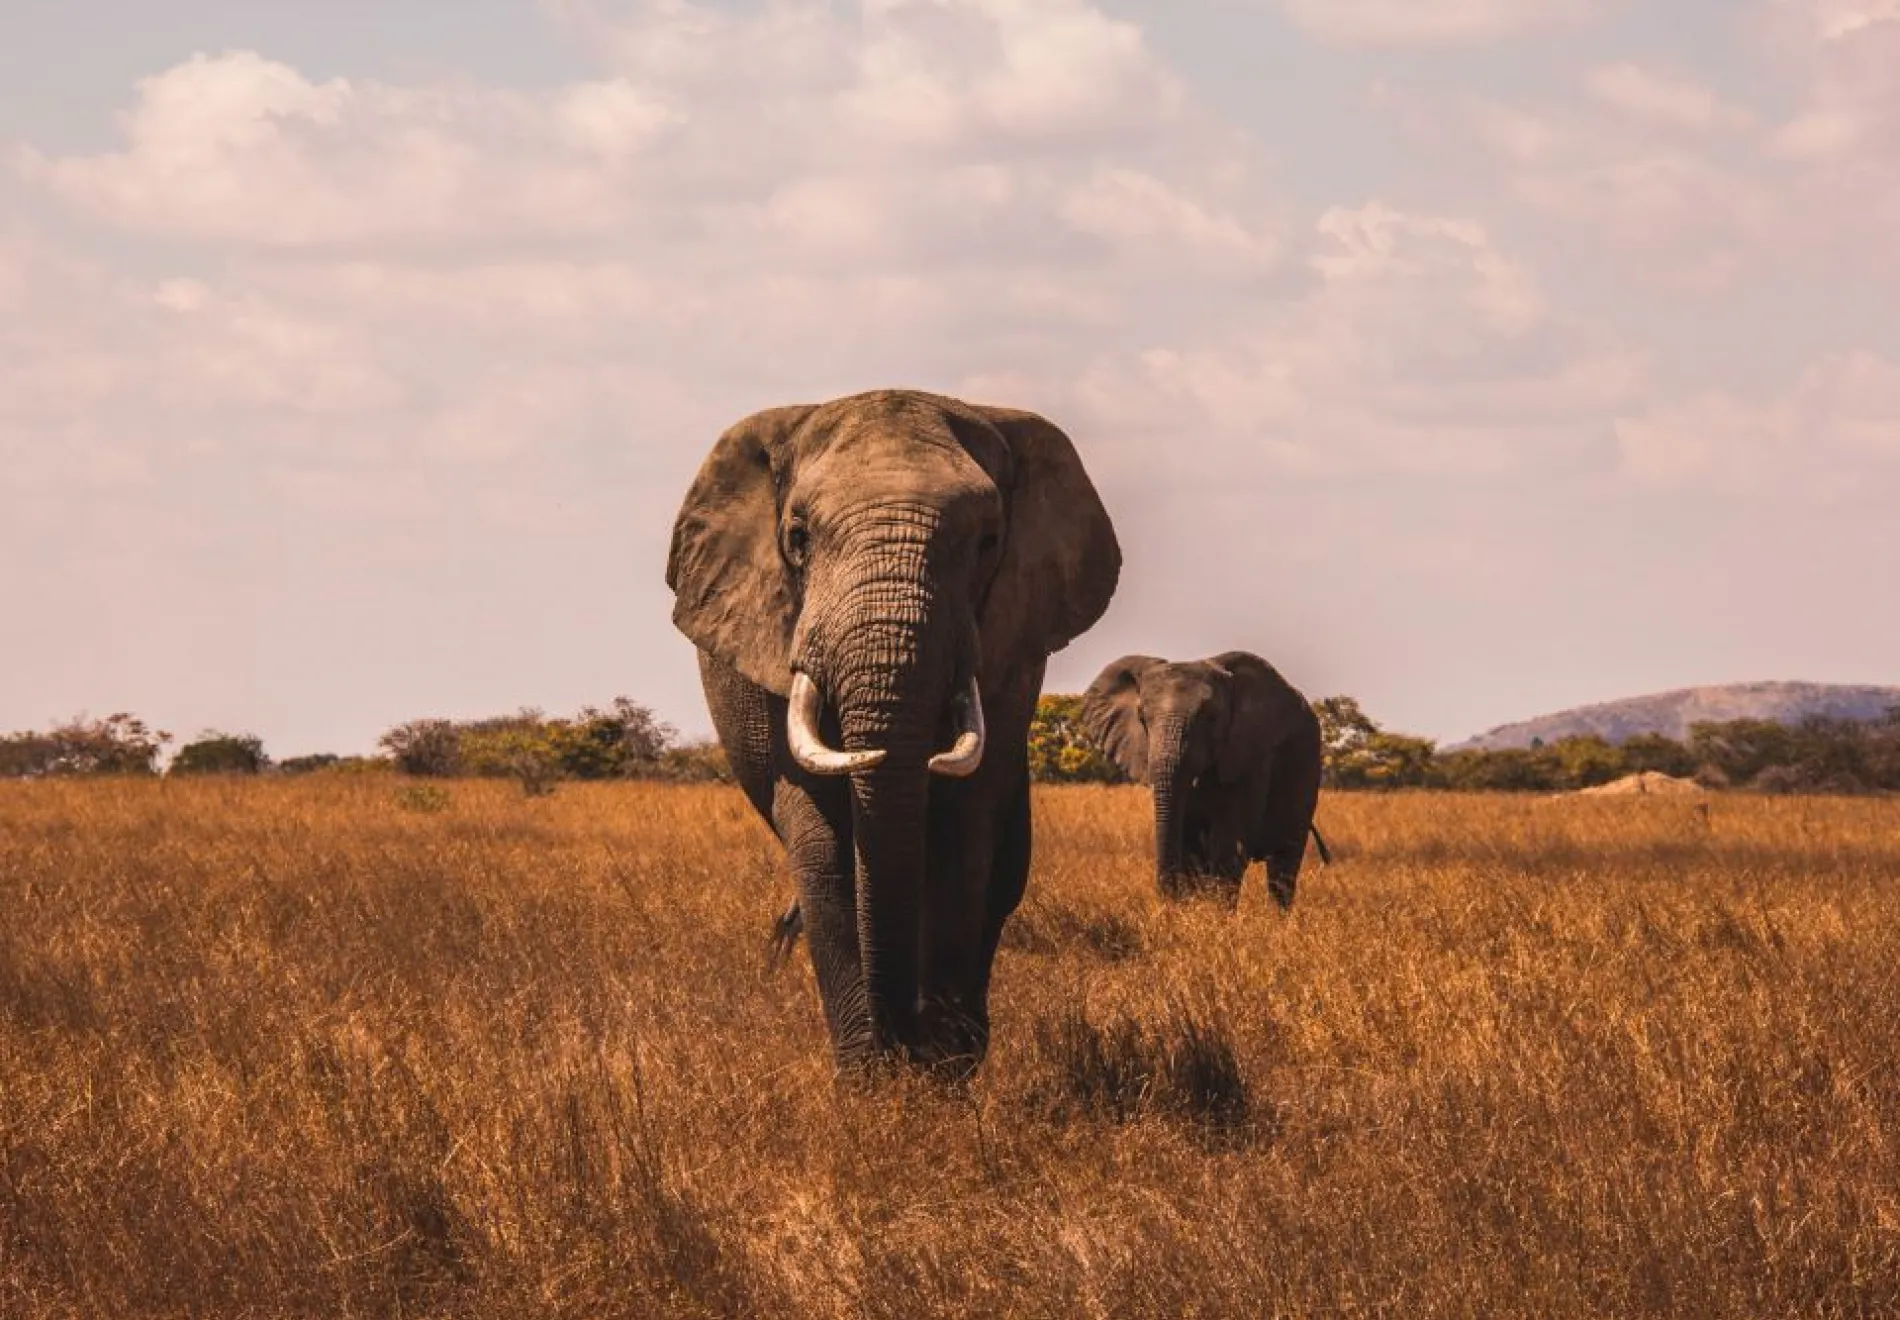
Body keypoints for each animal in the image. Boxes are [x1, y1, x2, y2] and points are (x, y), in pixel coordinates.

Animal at [666, 389, 1120, 1075]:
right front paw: (870, 1078)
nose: (903, 1040)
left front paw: (942, 1071)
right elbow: (824, 845)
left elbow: (964, 833)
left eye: (988, 541)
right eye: (797, 538)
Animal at [1080, 651, 1329, 909]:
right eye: (1141, 718)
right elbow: (1190, 844)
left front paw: (1216, 915)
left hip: (1307, 768)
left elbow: (1229, 845)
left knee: (1283, 864)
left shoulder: (1252, 755)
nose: (1168, 900)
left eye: (1211, 717)